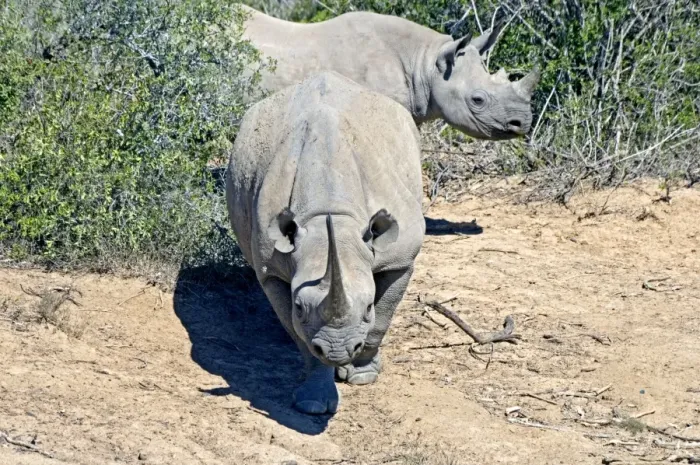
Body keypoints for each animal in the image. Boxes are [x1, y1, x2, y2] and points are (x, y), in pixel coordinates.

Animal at [226, 71, 425, 414]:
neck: (332, 213)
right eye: (299, 306)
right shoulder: (272, 271)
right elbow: (302, 337)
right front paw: (313, 403)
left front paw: (362, 375)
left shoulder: (401, 259)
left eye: (368, 306)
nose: (338, 350)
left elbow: (382, 319)